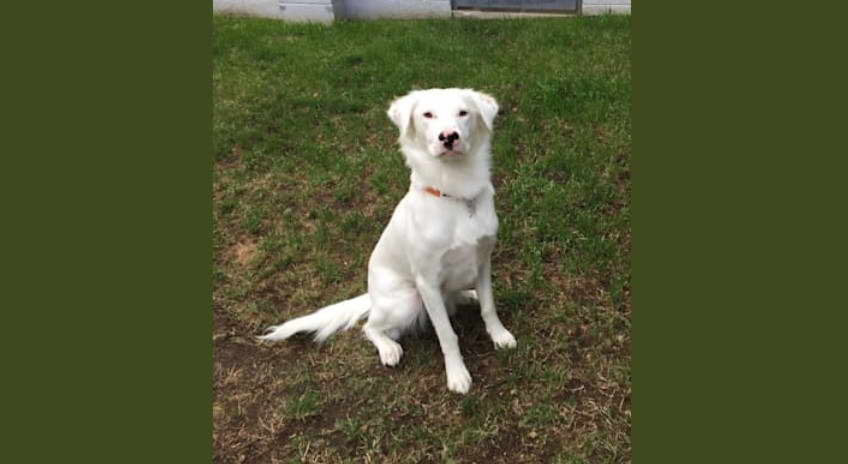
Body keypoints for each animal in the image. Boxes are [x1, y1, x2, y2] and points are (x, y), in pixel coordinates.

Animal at [258, 87, 516, 392]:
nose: (448, 137)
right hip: (408, 300)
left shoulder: (483, 261)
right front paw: (457, 374)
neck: (455, 191)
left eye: (463, 113)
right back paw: (388, 348)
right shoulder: (426, 281)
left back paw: (468, 294)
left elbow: (489, 307)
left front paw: (499, 335)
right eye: (427, 115)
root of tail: (373, 297)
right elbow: (446, 334)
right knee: (371, 326)